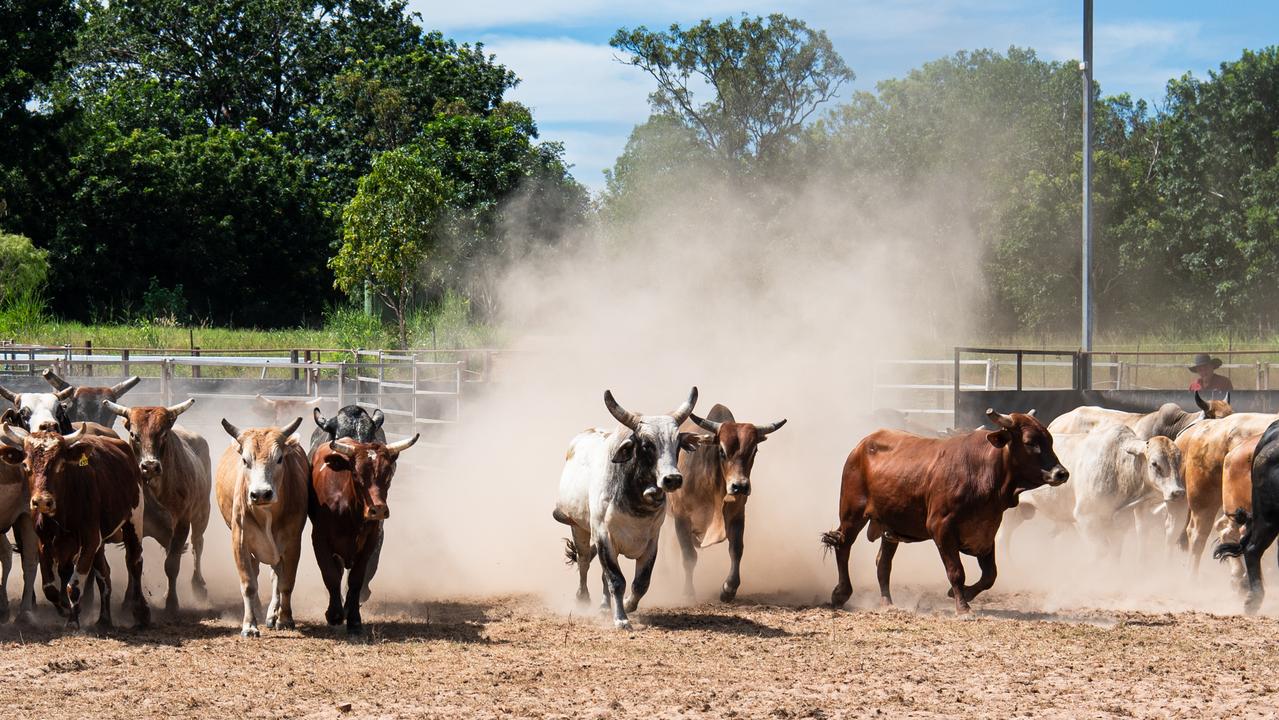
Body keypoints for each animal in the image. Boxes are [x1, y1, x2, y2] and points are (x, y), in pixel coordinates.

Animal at [214, 416, 306, 636]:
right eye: (245, 460)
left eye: (279, 459)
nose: (261, 494)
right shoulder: (240, 542)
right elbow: (249, 584)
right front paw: (249, 625)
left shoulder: (292, 544)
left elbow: (286, 583)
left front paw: (285, 619)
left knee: (276, 577)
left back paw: (273, 614)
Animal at [306, 434, 416, 636]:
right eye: (356, 474)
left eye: (388, 474)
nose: (378, 510)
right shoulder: (319, 540)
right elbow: (330, 575)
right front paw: (334, 614)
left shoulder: (370, 543)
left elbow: (356, 580)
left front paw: (354, 619)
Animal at [670, 406, 787, 603]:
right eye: (722, 452)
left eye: (754, 451)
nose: (740, 486)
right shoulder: (680, 516)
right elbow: (689, 556)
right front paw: (687, 593)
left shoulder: (738, 515)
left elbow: (736, 549)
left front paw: (729, 588)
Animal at [818, 411, 1069, 613]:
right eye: (1030, 442)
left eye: (1049, 440)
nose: (1061, 473)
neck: (982, 471)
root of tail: (862, 445)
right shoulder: (942, 528)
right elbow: (956, 571)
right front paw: (963, 607)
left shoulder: (986, 532)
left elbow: (990, 575)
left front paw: (964, 594)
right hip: (852, 513)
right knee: (843, 546)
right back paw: (841, 593)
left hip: (890, 526)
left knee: (883, 564)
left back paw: (887, 603)